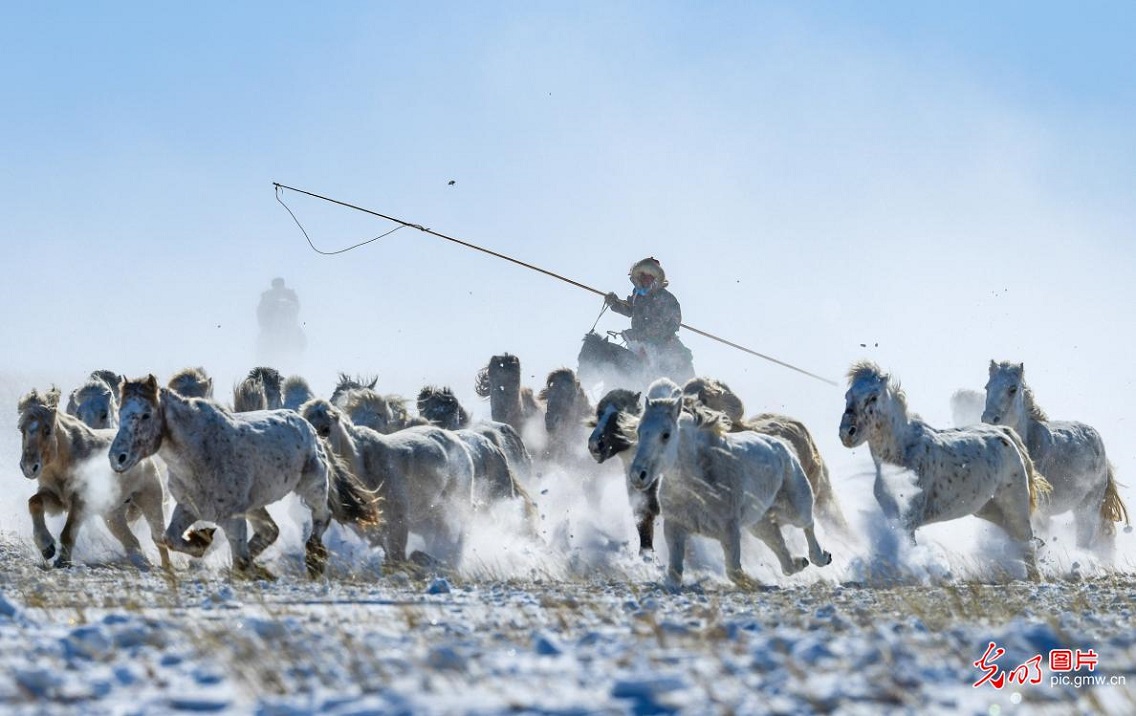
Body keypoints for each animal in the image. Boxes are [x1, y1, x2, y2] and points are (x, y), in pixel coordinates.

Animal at [18, 388, 169, 570]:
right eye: (22, 429)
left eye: (47, 430)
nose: (28, 467)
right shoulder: (55, 498)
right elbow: (34, 502)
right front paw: (47, 548)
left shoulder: (81, 501)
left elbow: (68, 532)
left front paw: (62, 561)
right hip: (112, 514)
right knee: (131, 541)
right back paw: (141, 562)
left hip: (150, 499)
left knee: (159, 538)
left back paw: (165, 567)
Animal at [111, 376, 379, 577]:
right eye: (120, 412)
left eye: (146, 414)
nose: (117, 457)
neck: (199, 451)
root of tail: (310, 427)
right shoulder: (188, 507)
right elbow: (170, 539)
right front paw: (201, 540)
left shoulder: (233, 517)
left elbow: (239, 560)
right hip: (255, 505)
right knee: (270, 530)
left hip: (312, 486)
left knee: (322, 516)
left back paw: (314, 560)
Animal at [300, 398, 475, 566]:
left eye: (326, 429)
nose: (318, 456)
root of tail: (453, 438)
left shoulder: (398, 523)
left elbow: (397, 559)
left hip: (456, 504)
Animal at [630, 379, 831, 588]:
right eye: (639, 431)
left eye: (666, 434)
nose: (638, 475)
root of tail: (781, 444)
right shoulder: (674, 527)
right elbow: (675, 572)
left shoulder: (729, 530)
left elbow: (733, 571)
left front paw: (755, 583)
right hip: (760, 523)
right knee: (780, 549)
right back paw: (799, 562)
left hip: (796, 507)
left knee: (808, 524)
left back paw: (821, 557)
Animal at [839, 361, 1050, 579]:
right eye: (847, 395)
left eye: (873, 397)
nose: (847, 433)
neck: (902, 452)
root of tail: (1006, 433)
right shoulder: (891, 513)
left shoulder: (909, 518)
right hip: (988, 509)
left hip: (1015, 504)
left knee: (1026, 542)